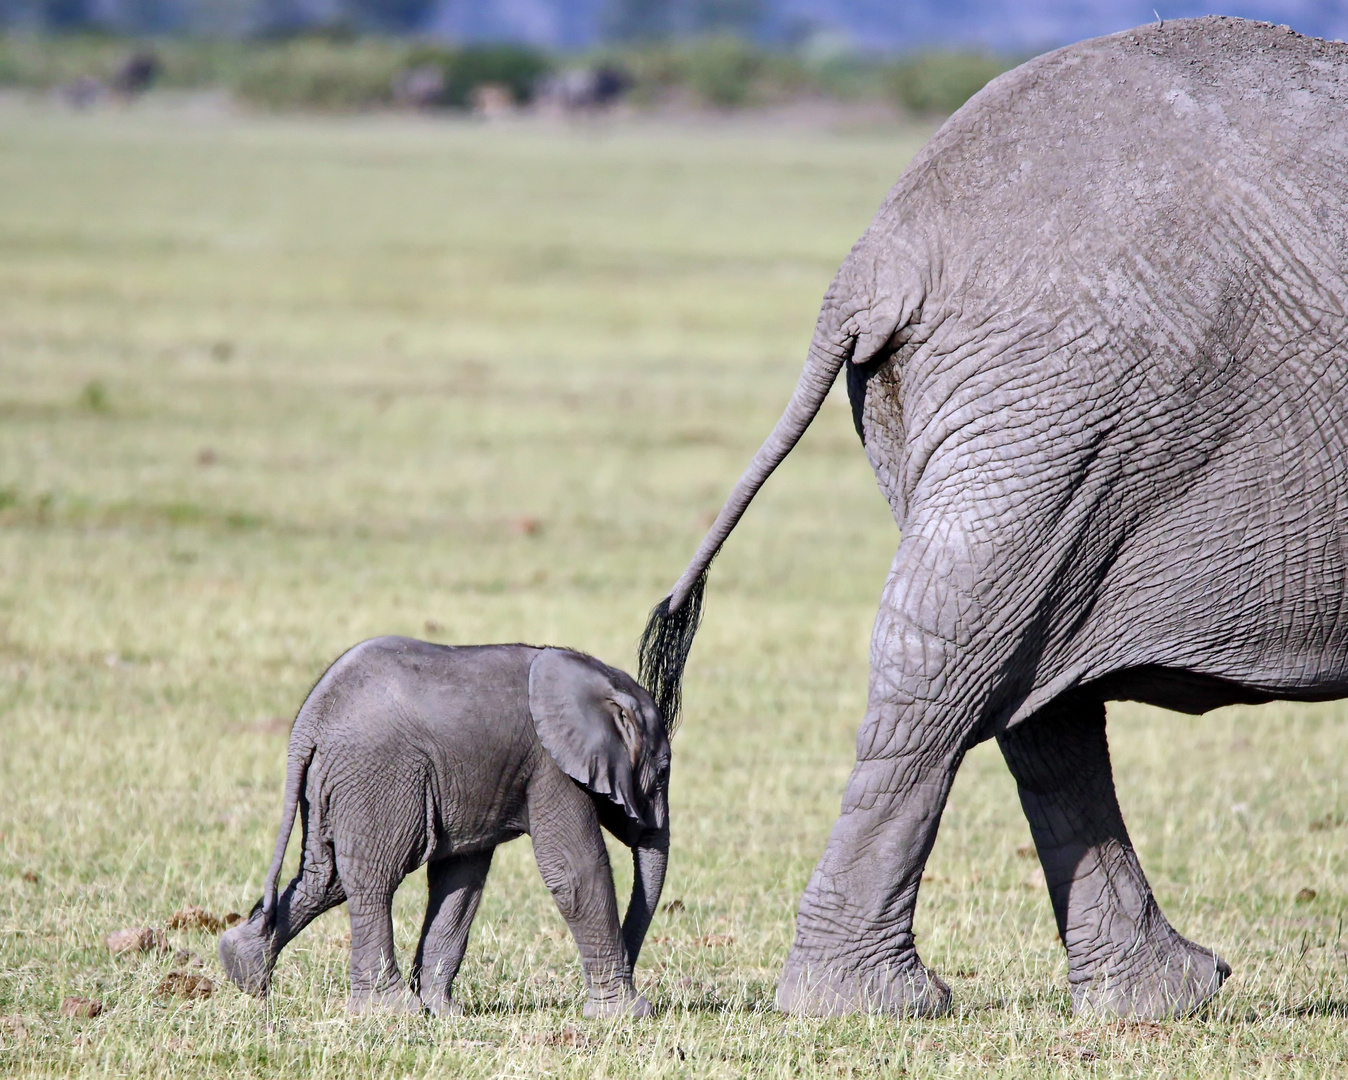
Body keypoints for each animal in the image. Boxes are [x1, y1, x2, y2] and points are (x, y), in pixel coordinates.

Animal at [217, 636, 674, 1013]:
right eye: (664, 771)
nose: (636, 977)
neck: (597, 679)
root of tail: (306, 724)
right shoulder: (549, 765)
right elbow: (574, 871)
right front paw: (627, 1014)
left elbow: (461, 877)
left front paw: (445, 1014)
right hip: (378, 777)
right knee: (373, 879)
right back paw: (391, 1011)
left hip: (330, 785)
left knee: (323, 878)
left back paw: (242, 969)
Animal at [636, 21, 1348, 1024]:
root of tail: (882, 253)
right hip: (1062, 400)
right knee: (957, 645)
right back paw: (874, 1006)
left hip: (1022, 422)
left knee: (1025, 668)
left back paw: (1160, 997)